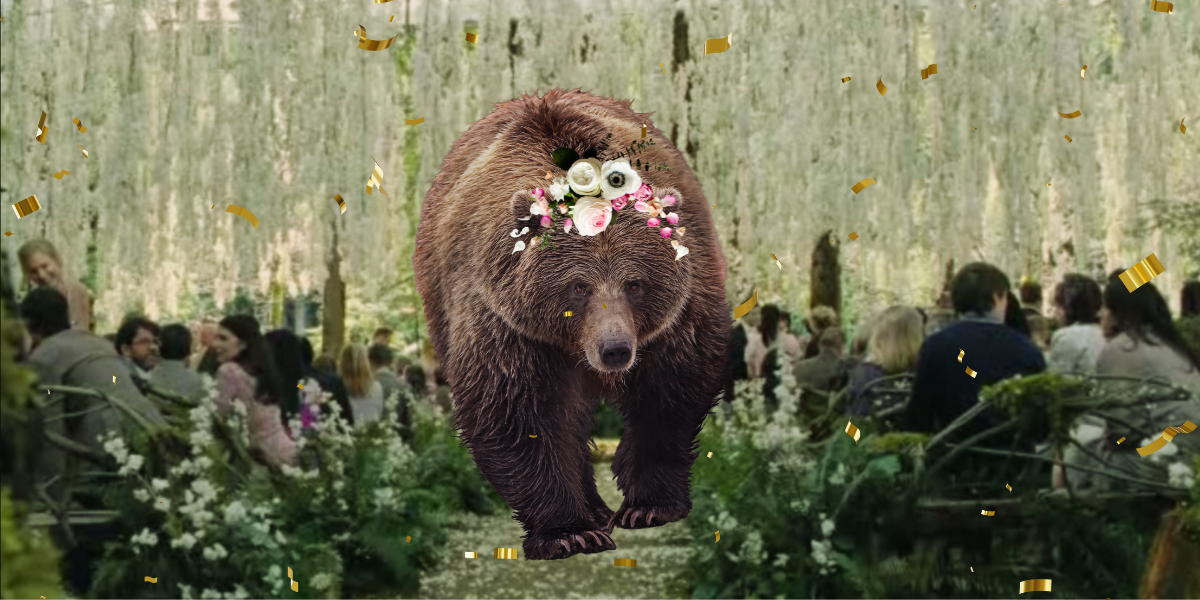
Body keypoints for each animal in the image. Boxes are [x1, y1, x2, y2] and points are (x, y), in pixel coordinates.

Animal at [413, 88, 731, 560]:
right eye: (578, 287)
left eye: (635, 283)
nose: (615, 349)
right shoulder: (507, 323)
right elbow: (517, 413)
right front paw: (570, 532)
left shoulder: (680, 314)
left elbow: (672, 391)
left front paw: (648, 506)